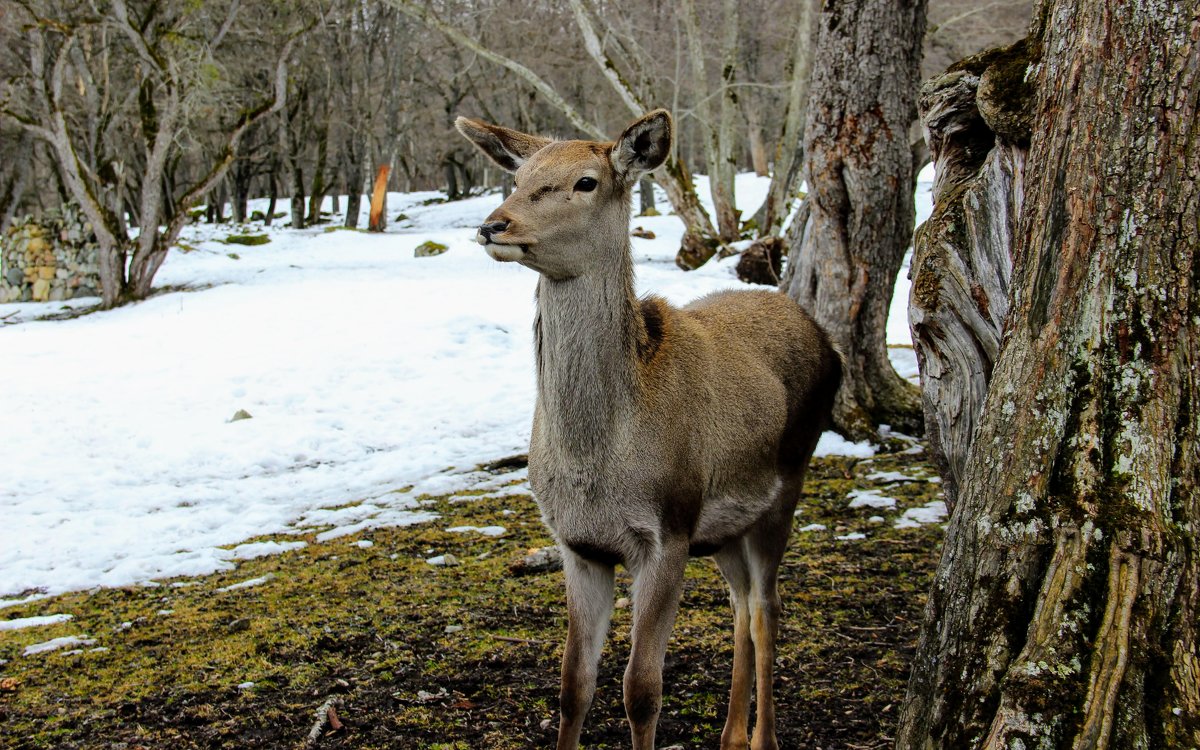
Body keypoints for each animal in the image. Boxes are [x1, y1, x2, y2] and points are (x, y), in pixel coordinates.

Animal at [453, 106, 840, 748]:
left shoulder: (667, 532)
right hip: (722, 526)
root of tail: (823, 335)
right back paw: (730, 736)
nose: (493, 225)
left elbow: (641, 691)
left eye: (586, 182)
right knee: (739, 603)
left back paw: (762, 737)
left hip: (787, 480)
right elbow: (572, 685)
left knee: (767, 609)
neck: (593, 460)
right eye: (518, 176)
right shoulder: (578, 545)